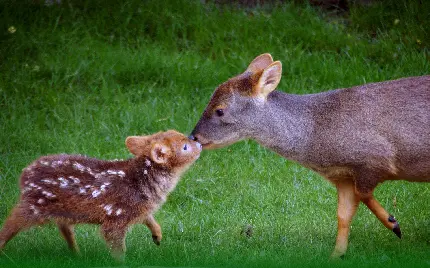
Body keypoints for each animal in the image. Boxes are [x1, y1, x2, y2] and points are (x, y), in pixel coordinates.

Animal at [0, 131, 202, 260]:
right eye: (185, 147)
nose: (199, 142)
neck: (141, 183)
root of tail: (24, 175)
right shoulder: (116, 216)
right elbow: (117, 246)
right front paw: (123, 262)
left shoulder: (140, 209)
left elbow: (149, 218)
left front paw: (158, 236)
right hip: (33, 205)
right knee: (10, 222)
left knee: (64, 226)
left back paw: (76, 253)